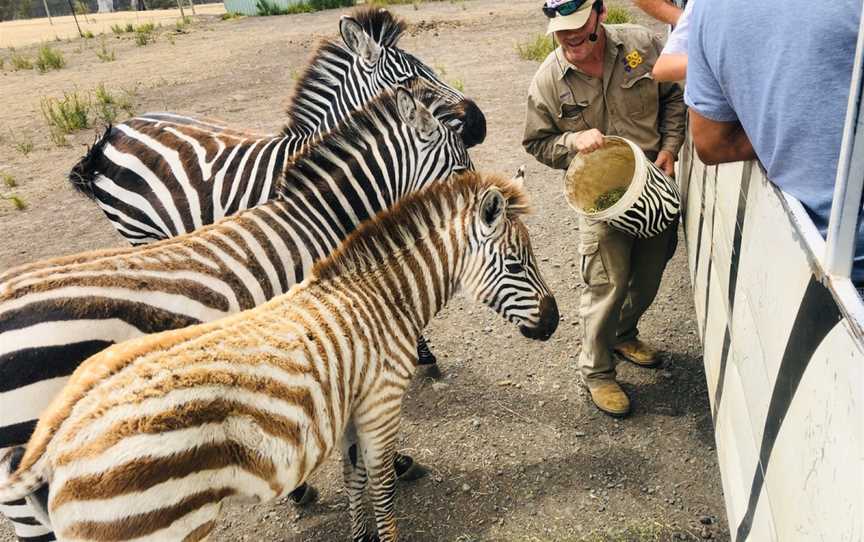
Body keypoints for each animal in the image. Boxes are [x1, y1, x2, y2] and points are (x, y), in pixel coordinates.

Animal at [0, 172, 560, 540]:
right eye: (517, 264)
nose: (554, 322)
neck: (379, 297)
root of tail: (54, 441)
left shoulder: (353, 403)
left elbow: (355, 477)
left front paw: (360, 537)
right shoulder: (381, 400)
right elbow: (381, 486)